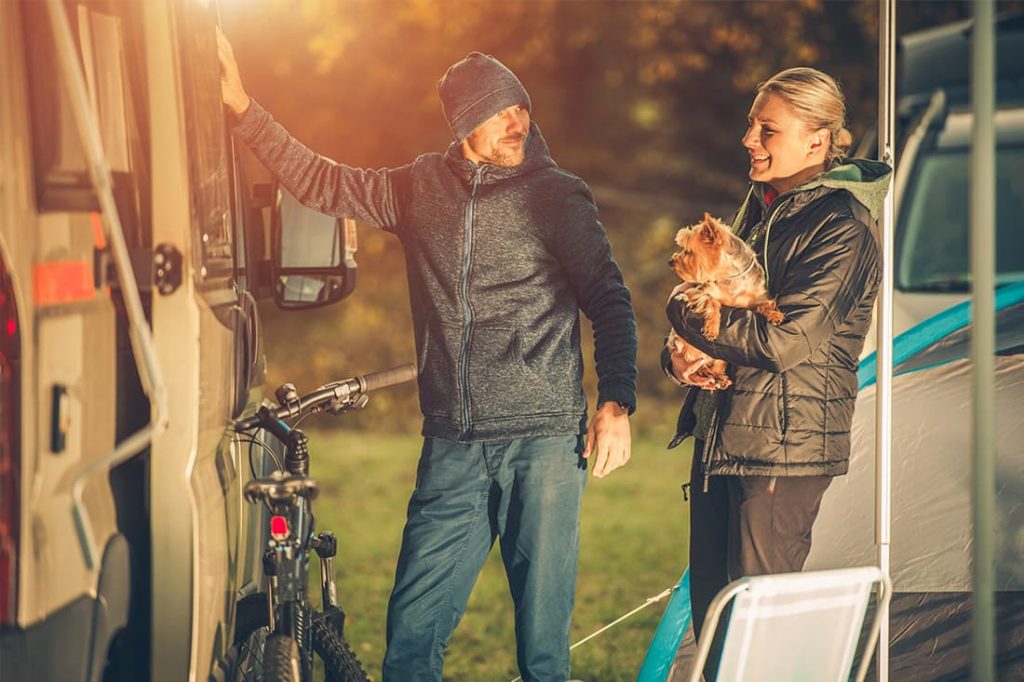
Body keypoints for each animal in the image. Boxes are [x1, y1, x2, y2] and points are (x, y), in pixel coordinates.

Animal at [663, 209, 782, 391]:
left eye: (688, 251)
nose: (671, 261)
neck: (730, 277)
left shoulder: (757, 296)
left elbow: (763, 305)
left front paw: (774, 314)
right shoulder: (695, 293)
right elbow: (712, 303)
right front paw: (712, 328)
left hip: (721, 358)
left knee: (717, 365)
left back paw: (719, 377)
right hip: (685, 348)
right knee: (697, 363)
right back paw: (706, 372)